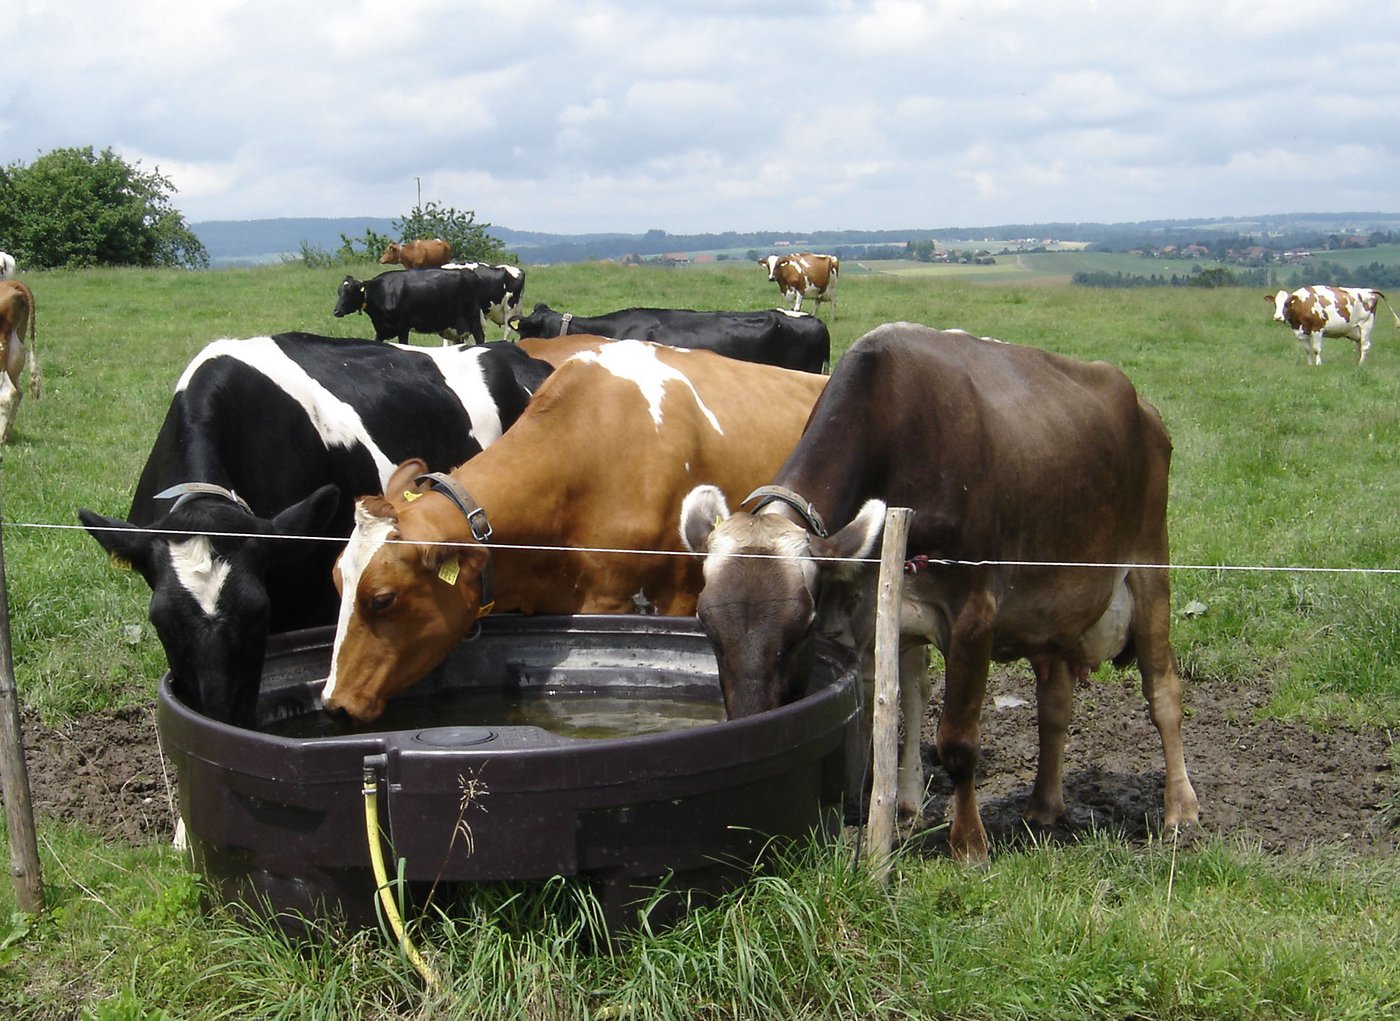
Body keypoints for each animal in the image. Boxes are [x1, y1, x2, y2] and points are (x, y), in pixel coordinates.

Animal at [334, 268, 487, 345]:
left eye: (351, 292)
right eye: (339, 291)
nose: (336, 311)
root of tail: (470, 273)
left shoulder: (403, 327)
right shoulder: (381, 329)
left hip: (473, 315)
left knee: (480, 337)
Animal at [679, 323, 1200, 863]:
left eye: (799, 631)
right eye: (707, 626)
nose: (750, 724)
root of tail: (1143, 406)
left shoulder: (973, 614)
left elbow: (957, 739)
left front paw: (968, 842)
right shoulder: (859, 621)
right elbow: (871, 725)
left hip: (1149, 562)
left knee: (1163, 689)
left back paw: (1180, 812)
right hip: (1053, 606)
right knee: (1054, 703)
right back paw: (1044, 805)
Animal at [1267, 285, 1399, 365]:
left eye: (1287, 303)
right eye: (1275, 304)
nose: (1277, 317)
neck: (1303, 304)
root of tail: (1369, 290)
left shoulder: (1317, 328)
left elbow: (1316, 349)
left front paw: (1318, 364)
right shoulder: (1300, 332)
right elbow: (1308, 350)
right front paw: (1310, 365)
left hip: (1366, 324)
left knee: (1365, 346)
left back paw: (1361, 364)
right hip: (1356, 330)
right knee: (1360, 345)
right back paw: (1358, 362)